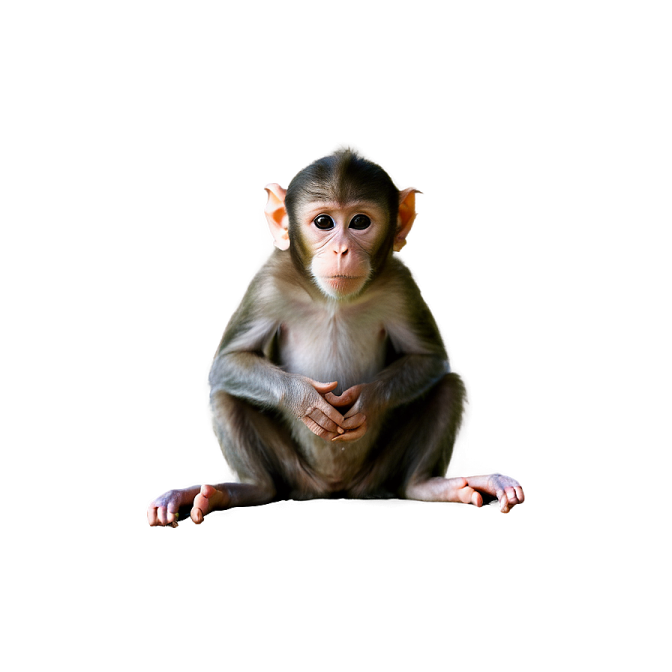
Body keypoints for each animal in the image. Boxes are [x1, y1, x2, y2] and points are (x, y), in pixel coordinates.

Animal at [145, 142, 524, 526]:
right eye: (324, 222)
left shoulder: (400, 283)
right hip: (294, 474)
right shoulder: (270, 280)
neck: (332, 300)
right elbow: (229, 362)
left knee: (449, 385)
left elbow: (430, 360)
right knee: (224, 394)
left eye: (360, 222)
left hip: (378, 475)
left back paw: (426, 484)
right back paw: (239, 490)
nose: (341, 250)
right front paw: (305, 401)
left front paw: (367, 401)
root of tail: (333, 488)